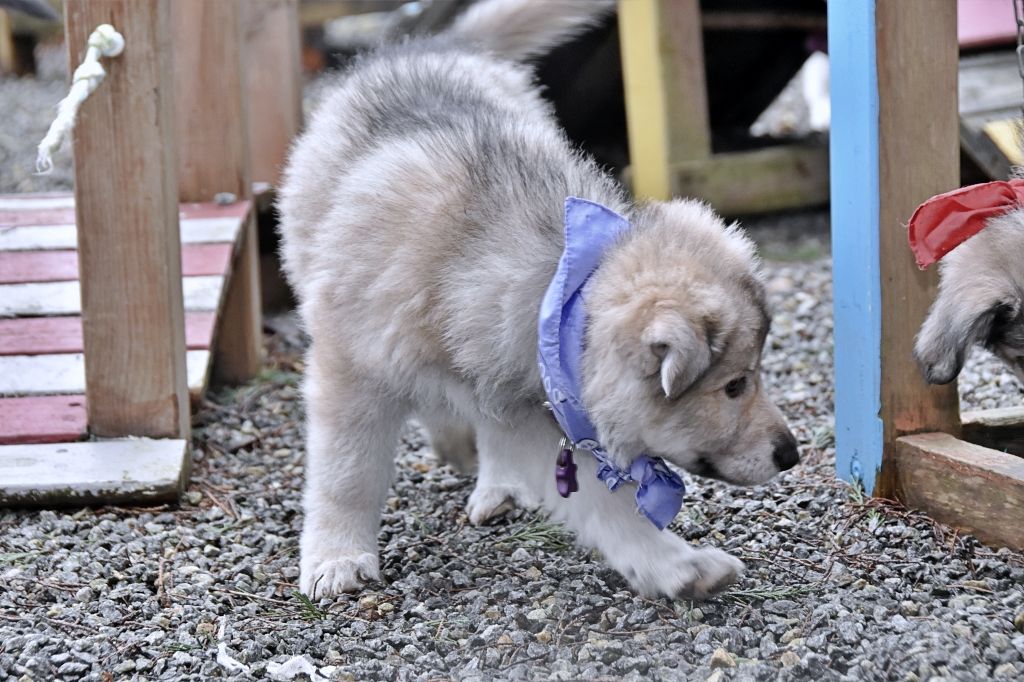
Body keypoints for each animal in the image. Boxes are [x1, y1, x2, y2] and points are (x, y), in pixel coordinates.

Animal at [277, 0, 799, 600]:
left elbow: (608, 507)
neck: (556, 288)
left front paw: (675, 567)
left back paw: (496, 482)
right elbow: (347, 474)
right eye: (734, 386)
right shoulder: (352, 373)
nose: (793, 454)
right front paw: (338, 557)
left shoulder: (531, 406)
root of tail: (433, 47)